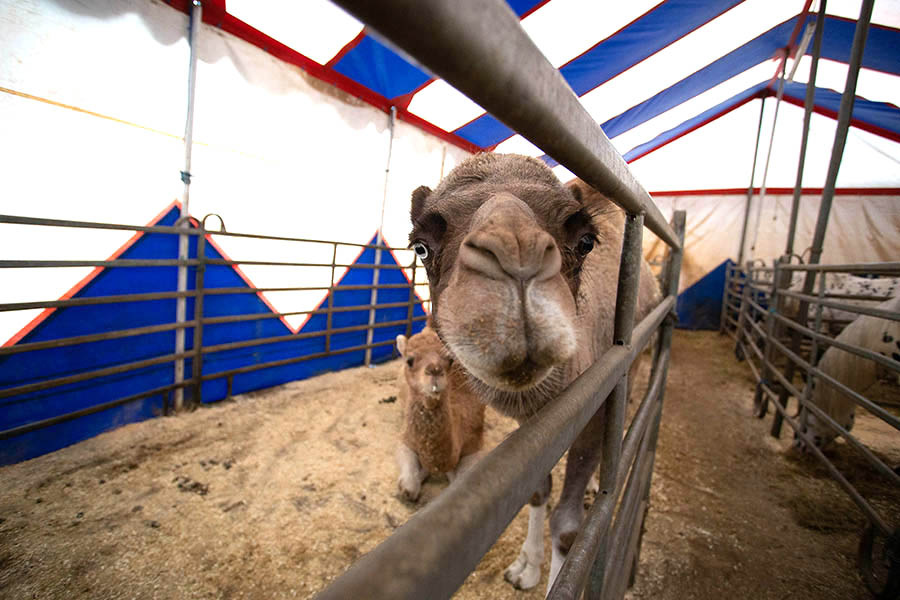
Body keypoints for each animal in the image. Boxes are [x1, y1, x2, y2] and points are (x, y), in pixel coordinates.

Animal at [394, 328, 486, 502]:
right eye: (409, 360)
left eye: (450, 360)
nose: (435, 370)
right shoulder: (406, 438)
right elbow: (409, 488)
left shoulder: (474, 443)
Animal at [410, 154, 660, 592]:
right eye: (421, 246)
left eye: (585, 241)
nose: (517, 255)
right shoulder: (533, 424)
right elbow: (537, 490)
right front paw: (524, 568)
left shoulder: (595, 406)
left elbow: (568, 528)